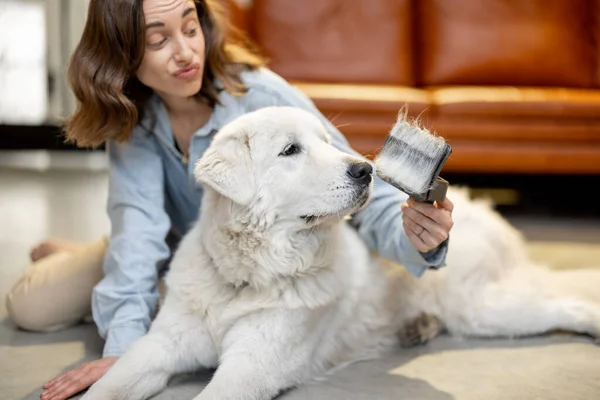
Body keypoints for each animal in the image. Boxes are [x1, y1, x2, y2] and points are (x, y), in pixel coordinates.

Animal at [83, 104, 600, 398]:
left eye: (329, 142)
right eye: (291, 150)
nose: (365, 170)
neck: (248, 276)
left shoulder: (251, 366)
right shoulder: (160, 346)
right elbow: (112, 383)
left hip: (481, 309)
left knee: (566, 304)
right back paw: (417, 326)